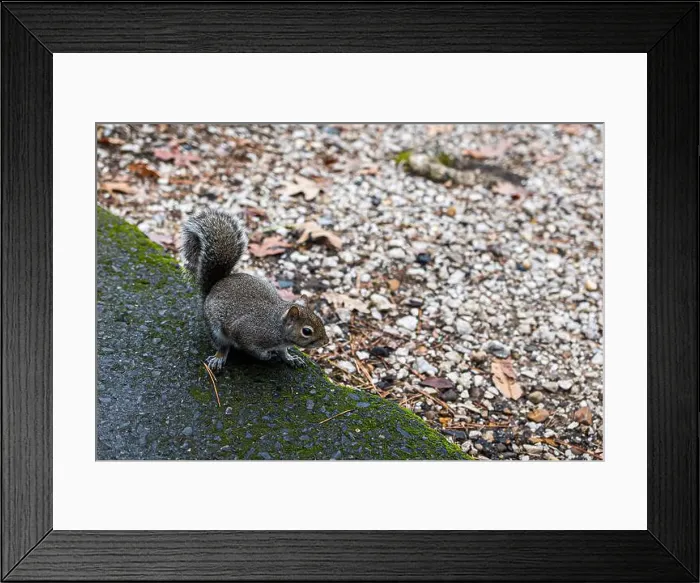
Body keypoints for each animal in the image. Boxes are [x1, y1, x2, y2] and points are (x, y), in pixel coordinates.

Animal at [180, 207, 329, 373]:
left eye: (320, 319)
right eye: (306, 331)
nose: (326, 342)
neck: (276, 325)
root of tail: (215, 286)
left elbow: (283, 352)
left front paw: (290, 358)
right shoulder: (246, 334)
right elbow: (253, 350)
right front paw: (267, 356)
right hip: (215, 329)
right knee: (223, 345)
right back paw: (219, 357)